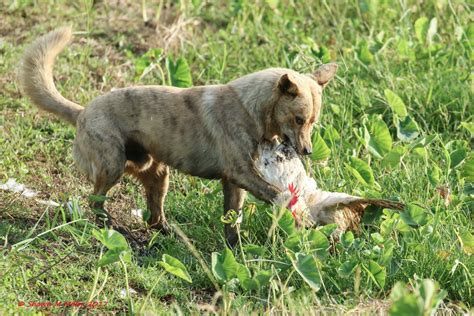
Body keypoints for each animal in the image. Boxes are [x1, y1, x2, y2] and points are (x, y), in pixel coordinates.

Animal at [18, 27, 336, 246]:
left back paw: (166, 232)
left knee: (153, 214)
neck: (252, 108)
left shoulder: (234, 183)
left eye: (313, 122)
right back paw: (110, 227)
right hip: (112, 167)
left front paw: (234, 248)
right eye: (298, 120)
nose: (307, 152)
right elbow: (278, 193)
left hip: (158, 175)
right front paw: (301, 215)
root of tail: (82, 111)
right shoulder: (241, 173)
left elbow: (233, 218)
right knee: (94, 199)